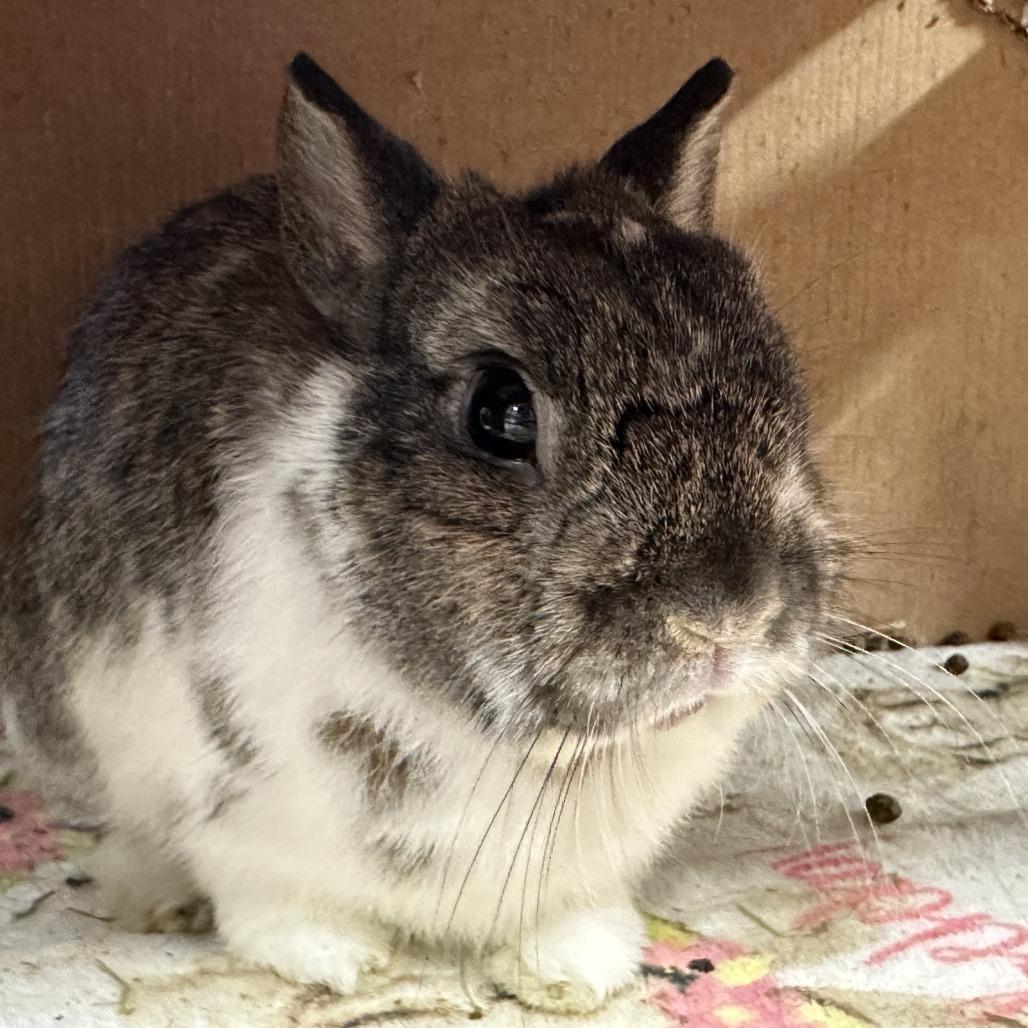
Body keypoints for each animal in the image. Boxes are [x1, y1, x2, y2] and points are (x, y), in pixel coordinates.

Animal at [0, 52, 845, 1011]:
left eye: (779, 374)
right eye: (500, 412)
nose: (729, 615)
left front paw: (571, 973)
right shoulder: (233, 814)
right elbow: (270, 903)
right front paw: (335, 959)